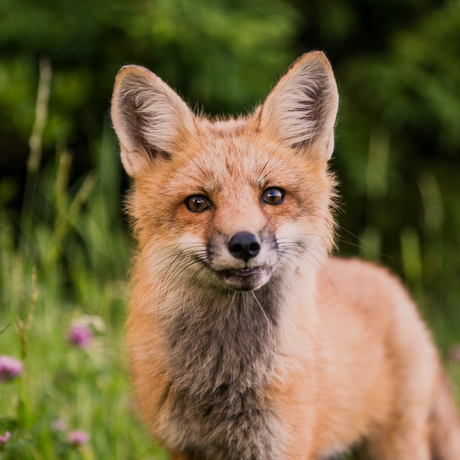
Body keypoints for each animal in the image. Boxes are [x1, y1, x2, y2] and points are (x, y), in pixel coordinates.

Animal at [111, 52, 460, 458]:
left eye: (273, 195)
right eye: (198, 202)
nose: (245, 244)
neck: (225, 378)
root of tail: (389, 281)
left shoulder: (281, 444)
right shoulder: (183, 447)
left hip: (396, 445)